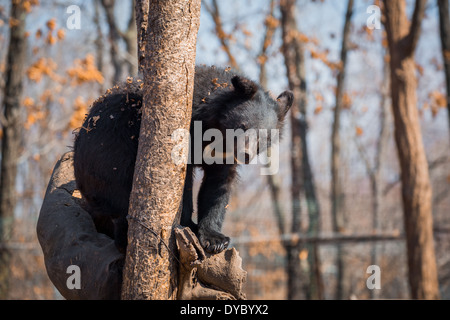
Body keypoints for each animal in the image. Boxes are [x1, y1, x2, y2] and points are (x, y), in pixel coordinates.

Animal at [72, 65, 294, 255]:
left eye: (265, 137)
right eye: (242, 126)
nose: (245, 154)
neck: (216, 132)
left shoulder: (223, 158)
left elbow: (218, 187)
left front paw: (216, 239)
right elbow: (183, 183)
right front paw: (188, 224)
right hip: (113, 149)